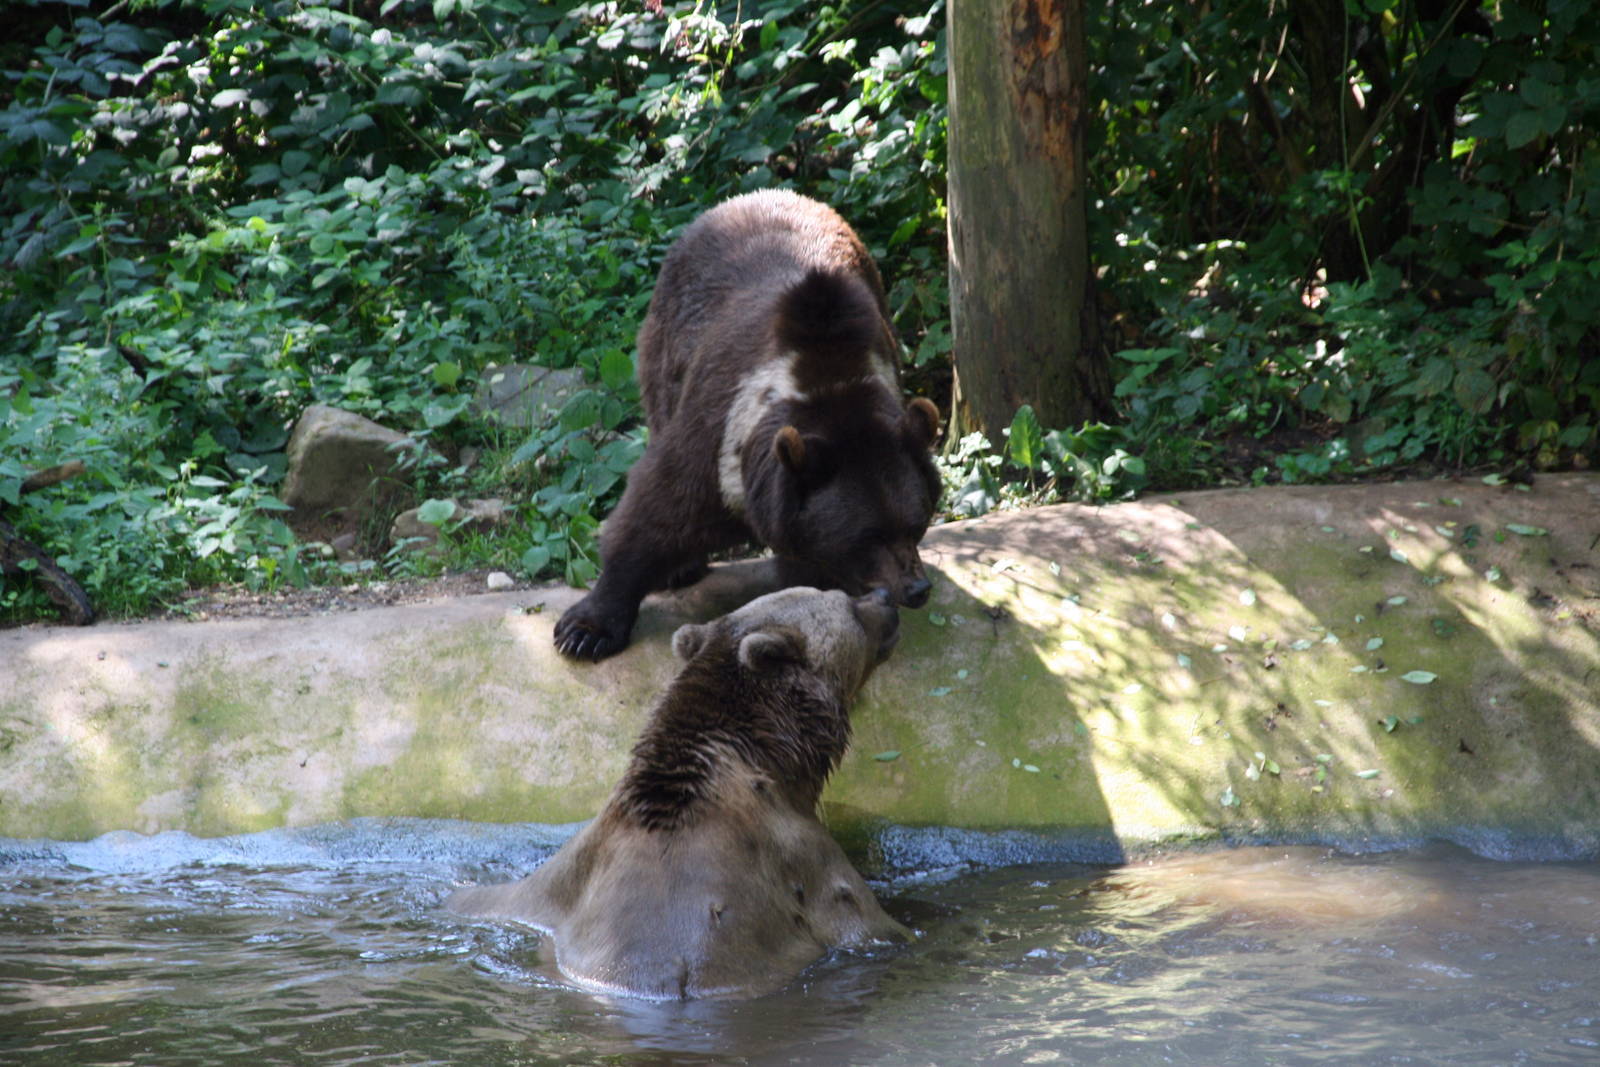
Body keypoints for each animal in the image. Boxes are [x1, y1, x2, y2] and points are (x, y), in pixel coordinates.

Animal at [553, 189, 942, 660]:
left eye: (917, 522)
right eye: (868, 537)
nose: (917, 588)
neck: (829, 380)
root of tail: (753, 195)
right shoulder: (719, 438)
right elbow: (656, 509)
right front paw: (585, 630)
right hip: (664, 345)